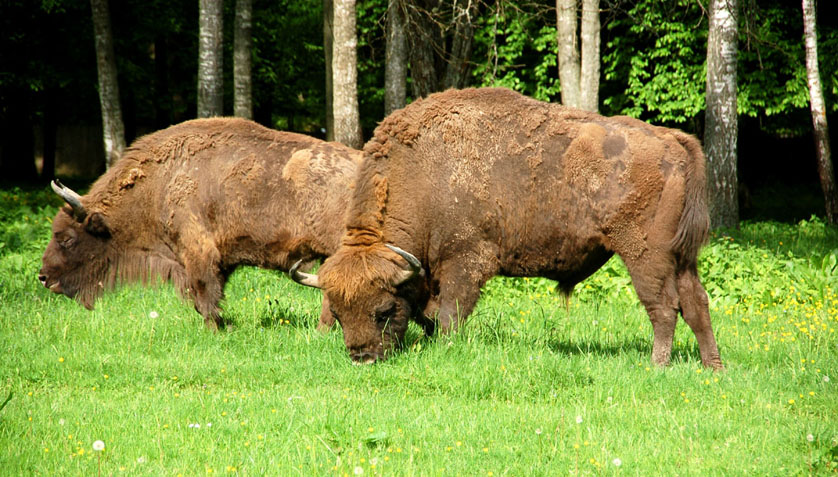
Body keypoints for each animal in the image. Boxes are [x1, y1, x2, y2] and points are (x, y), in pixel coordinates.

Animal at [40, 117, 360, 330]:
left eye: (66, 237)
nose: (43, 277)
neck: (159, 185)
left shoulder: (198, 251)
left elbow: (204, 291)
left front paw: (215, 328)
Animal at [292, 87, 723, 369]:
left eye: (382, 310)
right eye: (339, 314)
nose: (362, 358)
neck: (423, 173)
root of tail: (672, 140)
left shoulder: (465, 262)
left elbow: (448, 315)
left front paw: (446, 350)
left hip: (644, 252)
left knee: (664, 307)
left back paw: (657, 365)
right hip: (681, 257)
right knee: (696, 303)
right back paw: (713, 368)